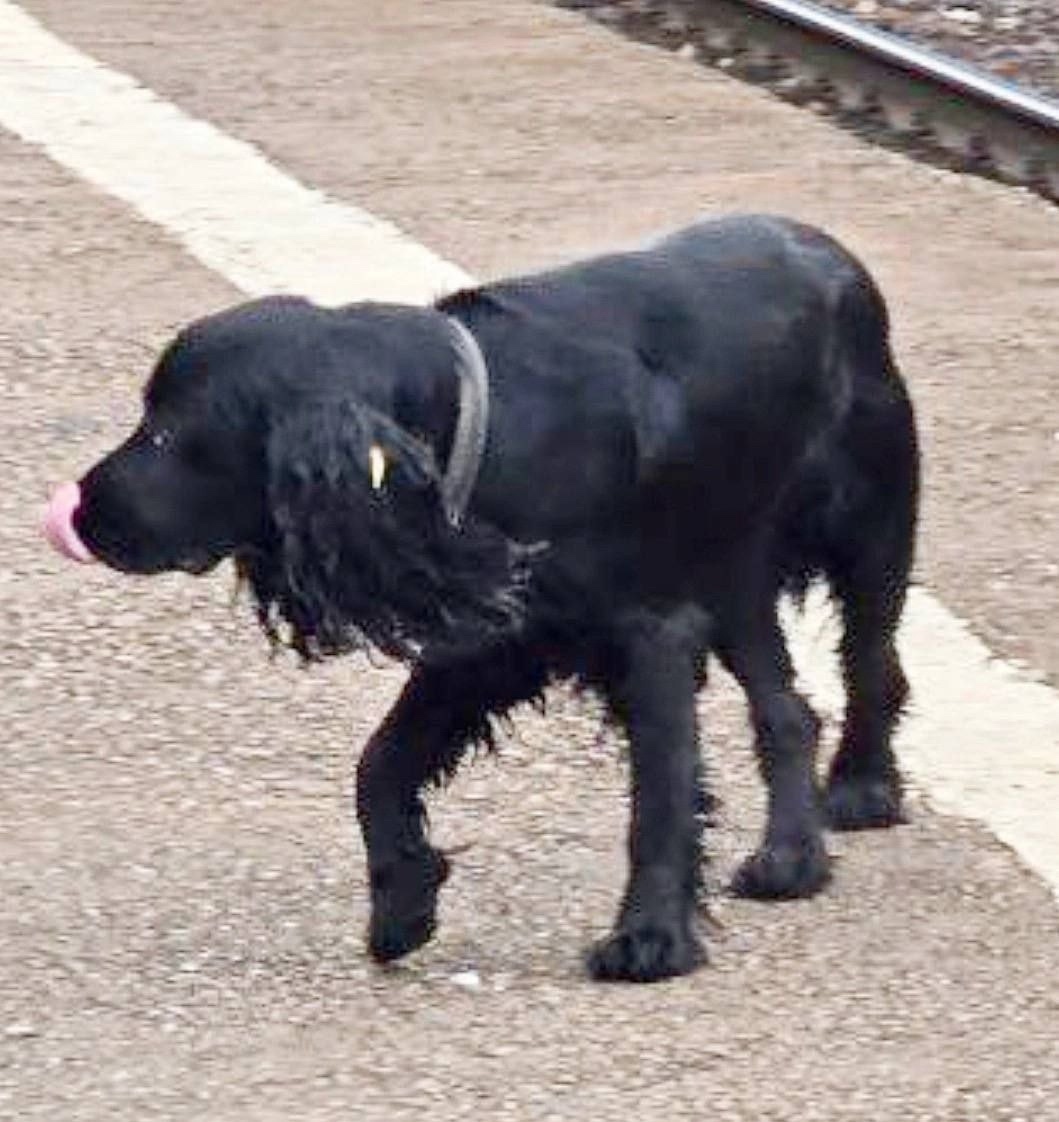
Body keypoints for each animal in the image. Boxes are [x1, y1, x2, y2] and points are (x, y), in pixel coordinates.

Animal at [45, 214, 919, 982]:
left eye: (165, 434)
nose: (78, 509)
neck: (482, 428)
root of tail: (826, 248)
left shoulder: (648, 632)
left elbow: (660, 793)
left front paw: (650, 938)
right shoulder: (491, 638)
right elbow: (380, 764)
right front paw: (402, 902)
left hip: (866, 527)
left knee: (870, 662)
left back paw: (861, 788)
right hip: (733, 569)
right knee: (787, 711)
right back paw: (791, 857)